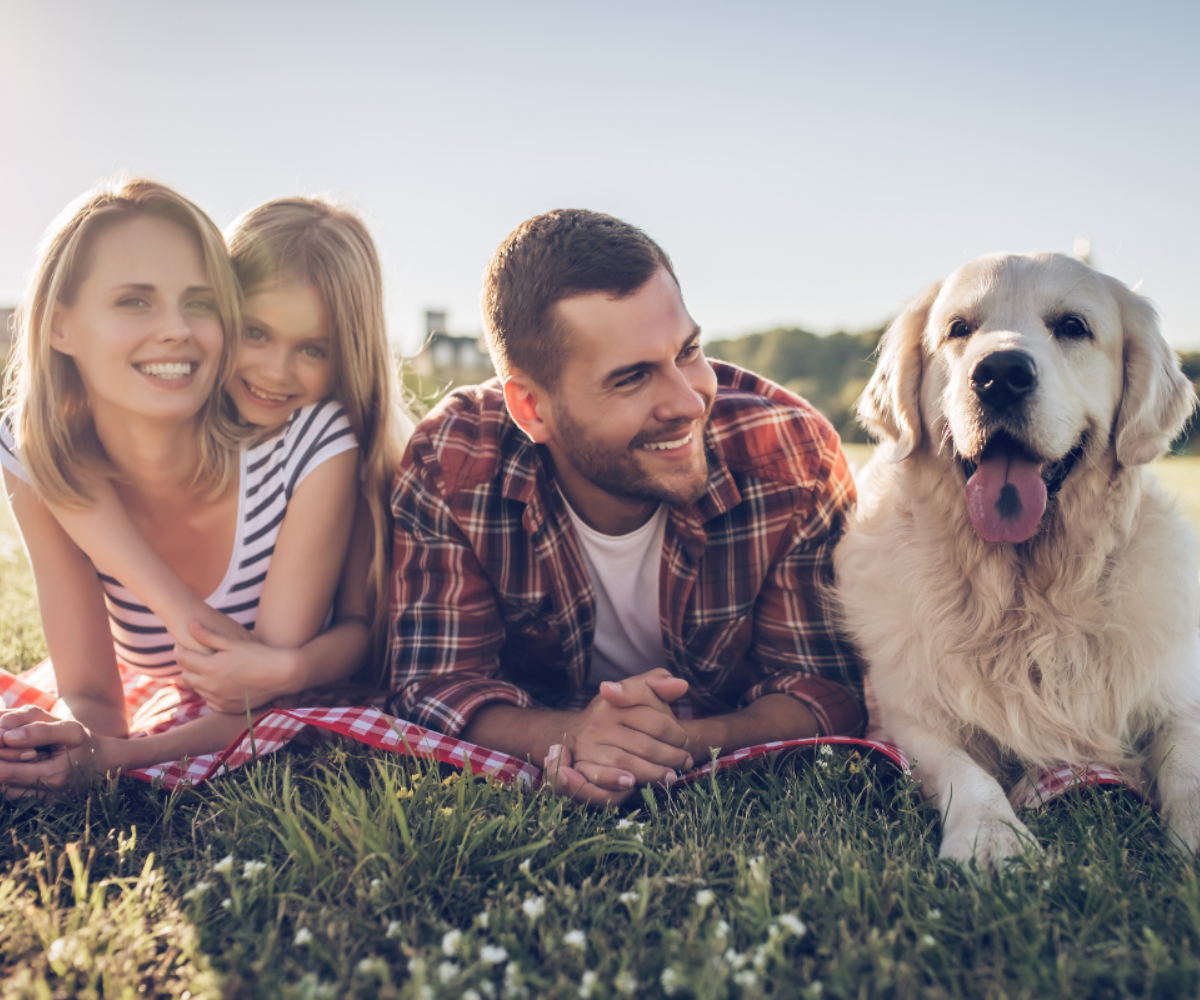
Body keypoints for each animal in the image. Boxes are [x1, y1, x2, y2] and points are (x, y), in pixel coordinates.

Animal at [835, 253, 1200, 869]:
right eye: (958, 328)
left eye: (1073, 326)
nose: (1000, 374)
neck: (1026, 593)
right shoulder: (904, 714)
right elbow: (964, 768)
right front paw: (991, 834)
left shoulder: (1174, 693)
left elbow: (1186, 762)